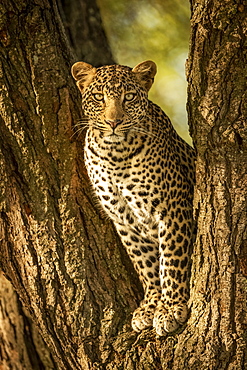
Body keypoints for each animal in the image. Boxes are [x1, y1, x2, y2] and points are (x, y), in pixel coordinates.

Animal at [71, 60, 195, 336]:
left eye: (128, 97)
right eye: (99, 97)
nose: (113, 122)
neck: (115, 153)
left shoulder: (172, 209)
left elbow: (170, 260)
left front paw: (170, 308)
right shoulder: (124, 220)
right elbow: (146, 265)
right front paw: (150, 307)